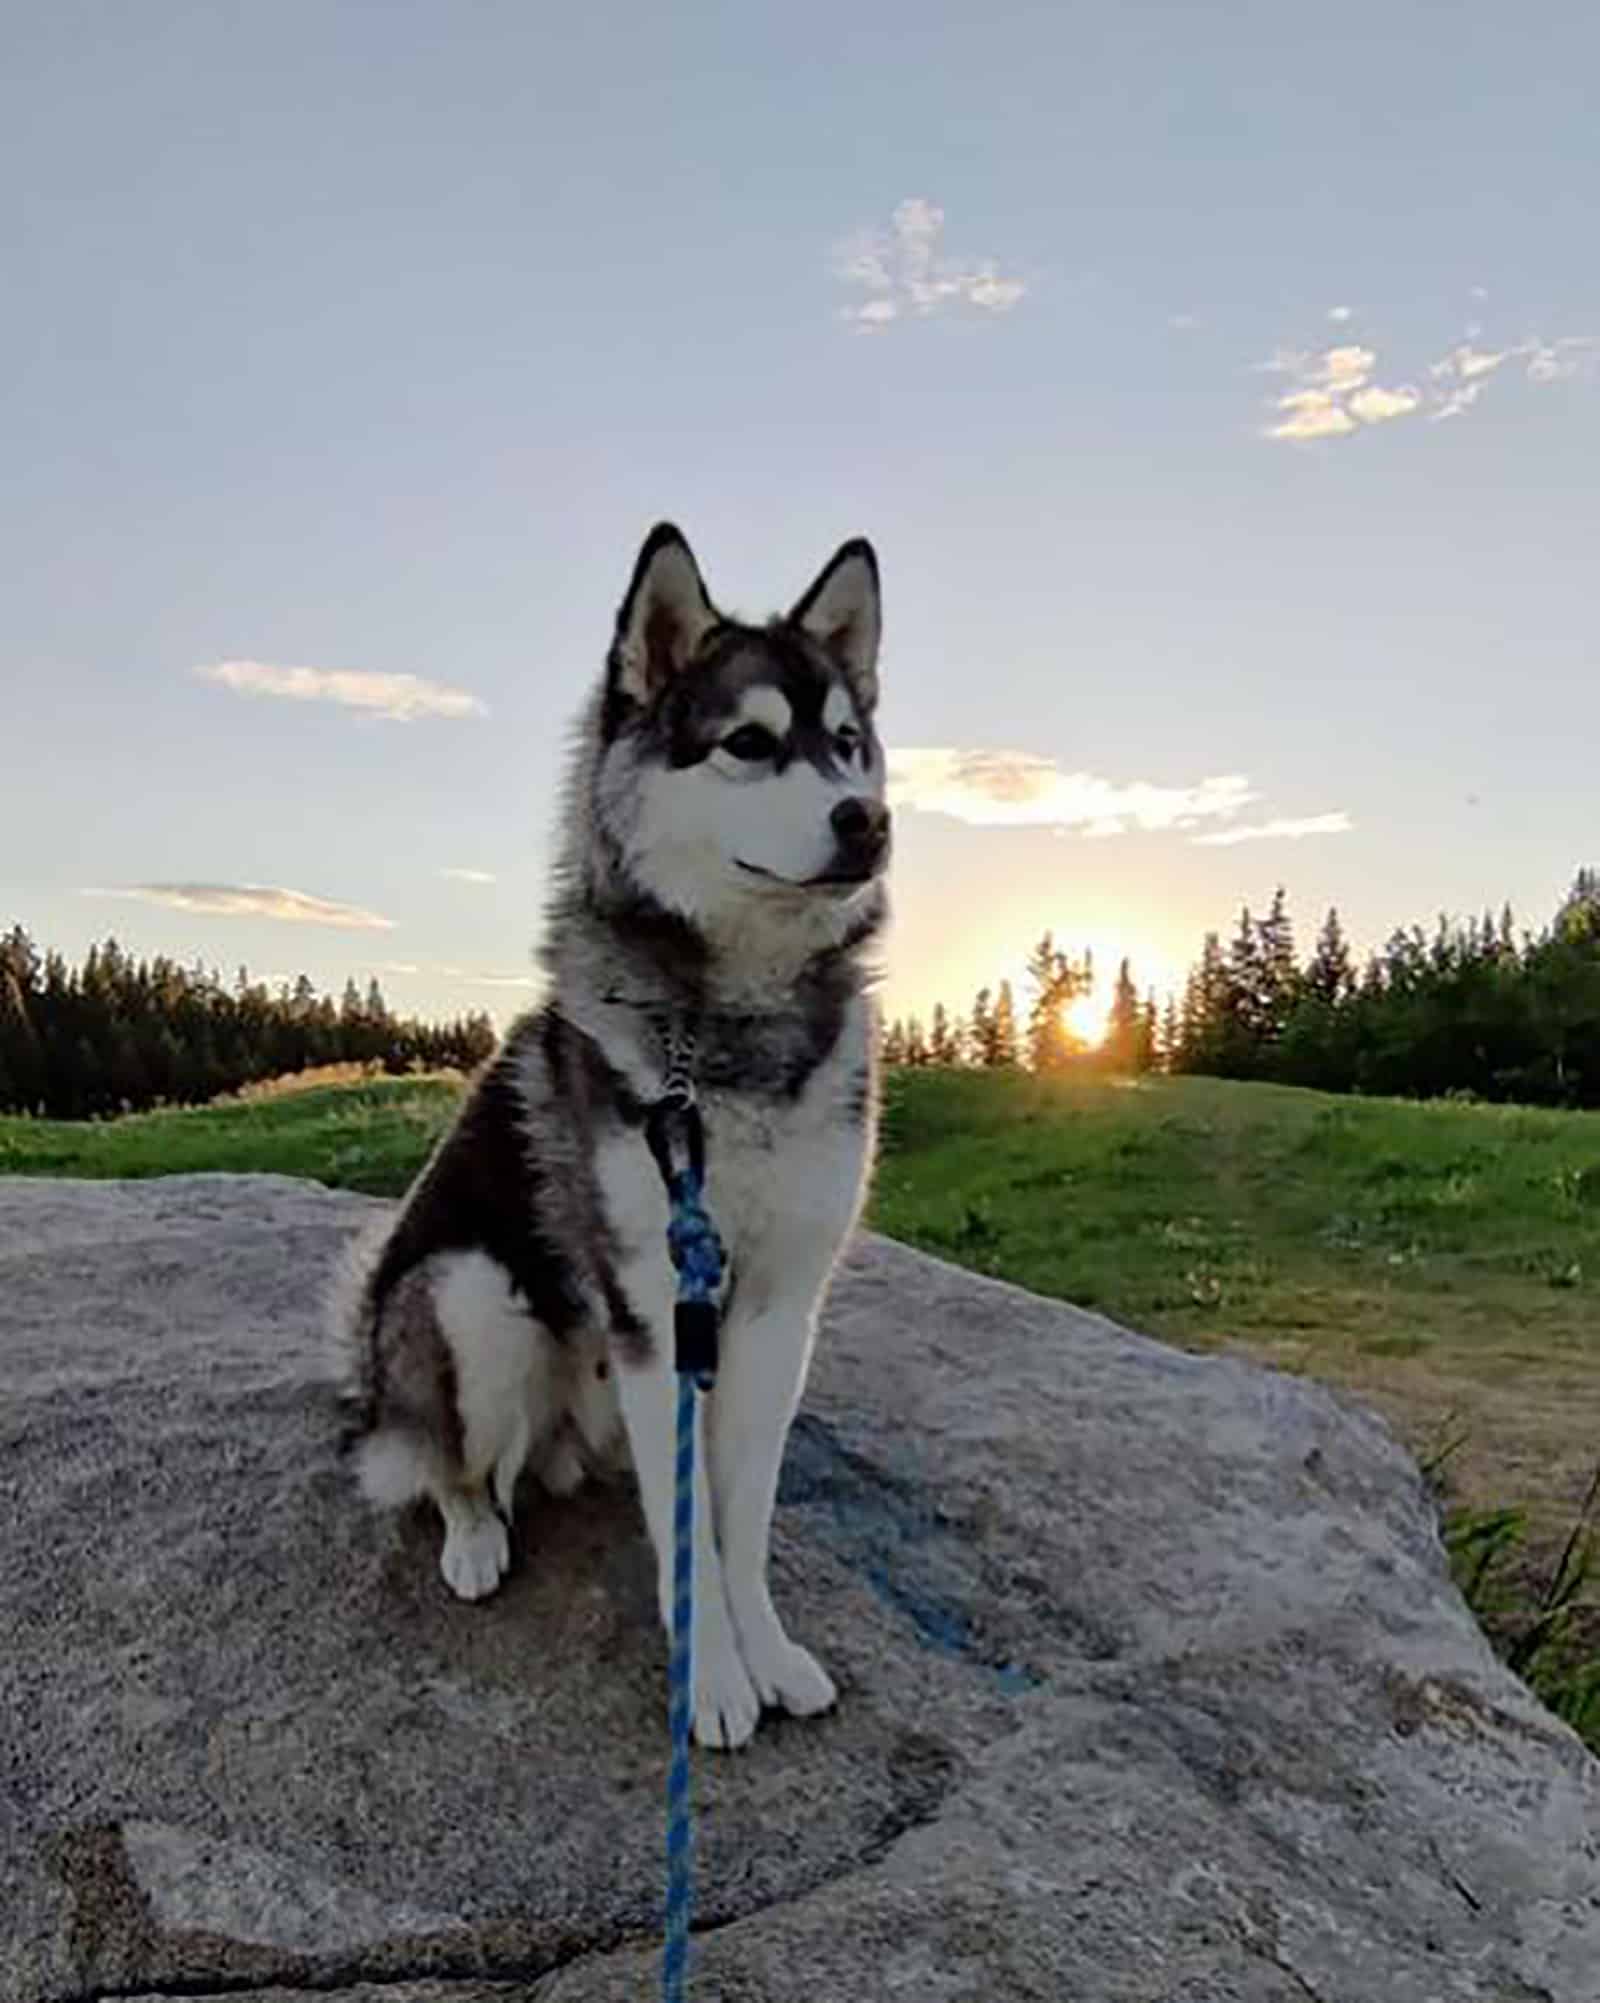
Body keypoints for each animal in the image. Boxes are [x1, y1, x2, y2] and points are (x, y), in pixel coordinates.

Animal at [334, 524, 889, 1746]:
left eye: (845, 744)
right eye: (748, 743)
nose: (866, 821)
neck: (729, 1029)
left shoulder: (779, 1310)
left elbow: (739, 1518)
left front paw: (765, 1651)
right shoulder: (656, 1303)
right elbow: (691, 1532)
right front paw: (714, 1679)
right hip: (465, 1295)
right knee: (450, 1465)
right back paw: (474, 1536)